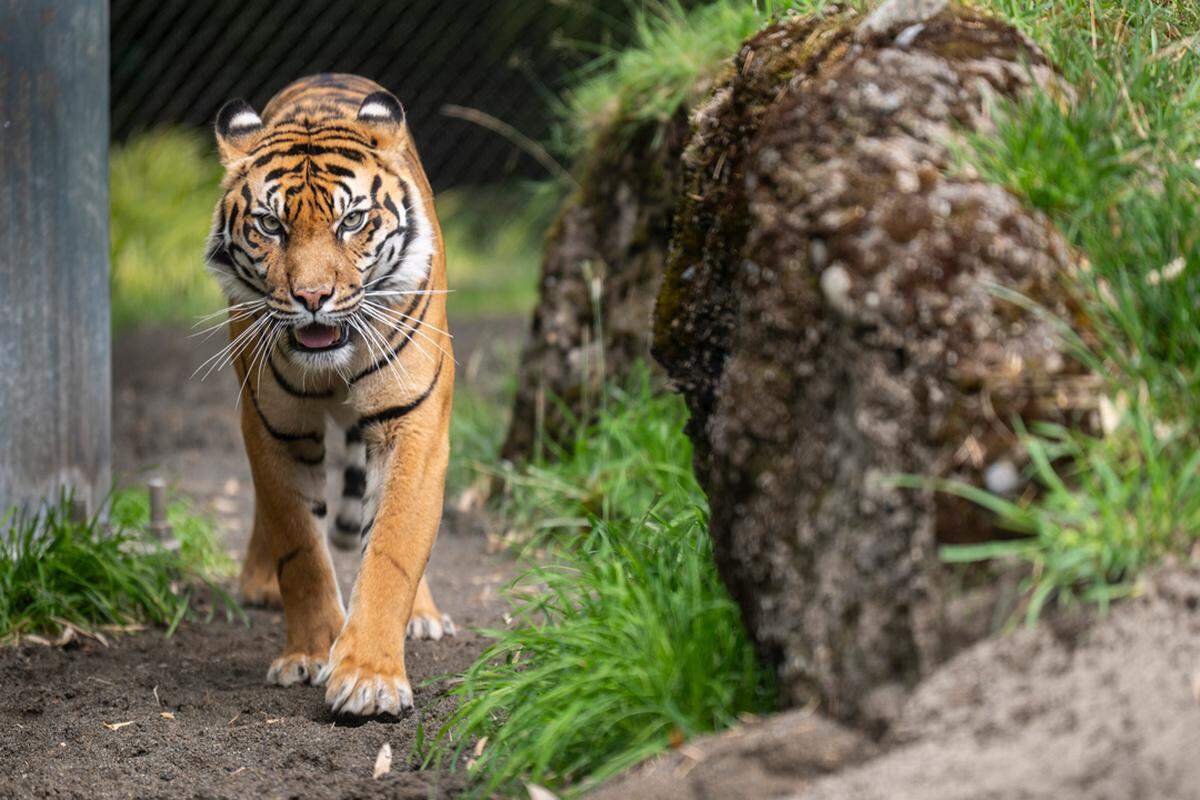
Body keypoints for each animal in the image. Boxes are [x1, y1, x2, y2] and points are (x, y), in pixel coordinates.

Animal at [204, 74, 454, 716]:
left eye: (352, 221)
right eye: (271, 226)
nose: (313, 297)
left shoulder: (410, 421)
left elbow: (393, 546)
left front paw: (369, 678)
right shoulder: (273, 426)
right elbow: (300, 547)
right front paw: (311, 653)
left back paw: (424, 615)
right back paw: (259, 586)